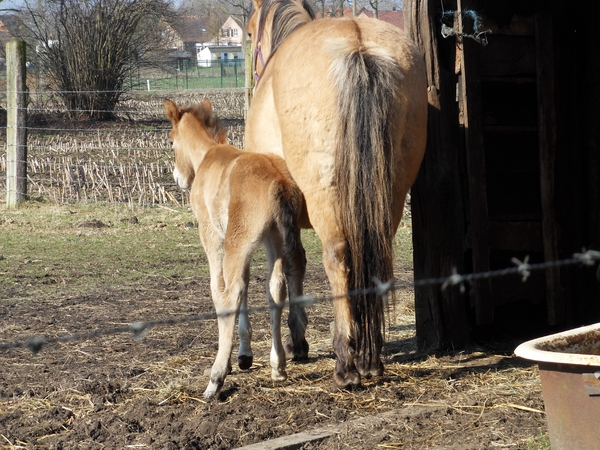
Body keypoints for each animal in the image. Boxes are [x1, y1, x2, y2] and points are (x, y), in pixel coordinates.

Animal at [164, 99, 308, 400]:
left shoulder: (212, 234)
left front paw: (231, 362)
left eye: (170, 141)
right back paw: (278, 366)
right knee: (276, 287)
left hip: (238, 241)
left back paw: (215, 378)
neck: (207, 155)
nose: (179, 179)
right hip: (274, 240)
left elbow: (219, 287)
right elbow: (250, 282)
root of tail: (279, 182)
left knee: (231, 293)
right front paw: (244, 355)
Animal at [246, 0, 428, 390]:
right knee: (374, 255)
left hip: (326, 201)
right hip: (388, 196)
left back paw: (346, 362)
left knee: (338, 257)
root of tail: (357, 46)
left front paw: (297, 340)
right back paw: (370, 357)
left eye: (250, 31)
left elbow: (292, 264)